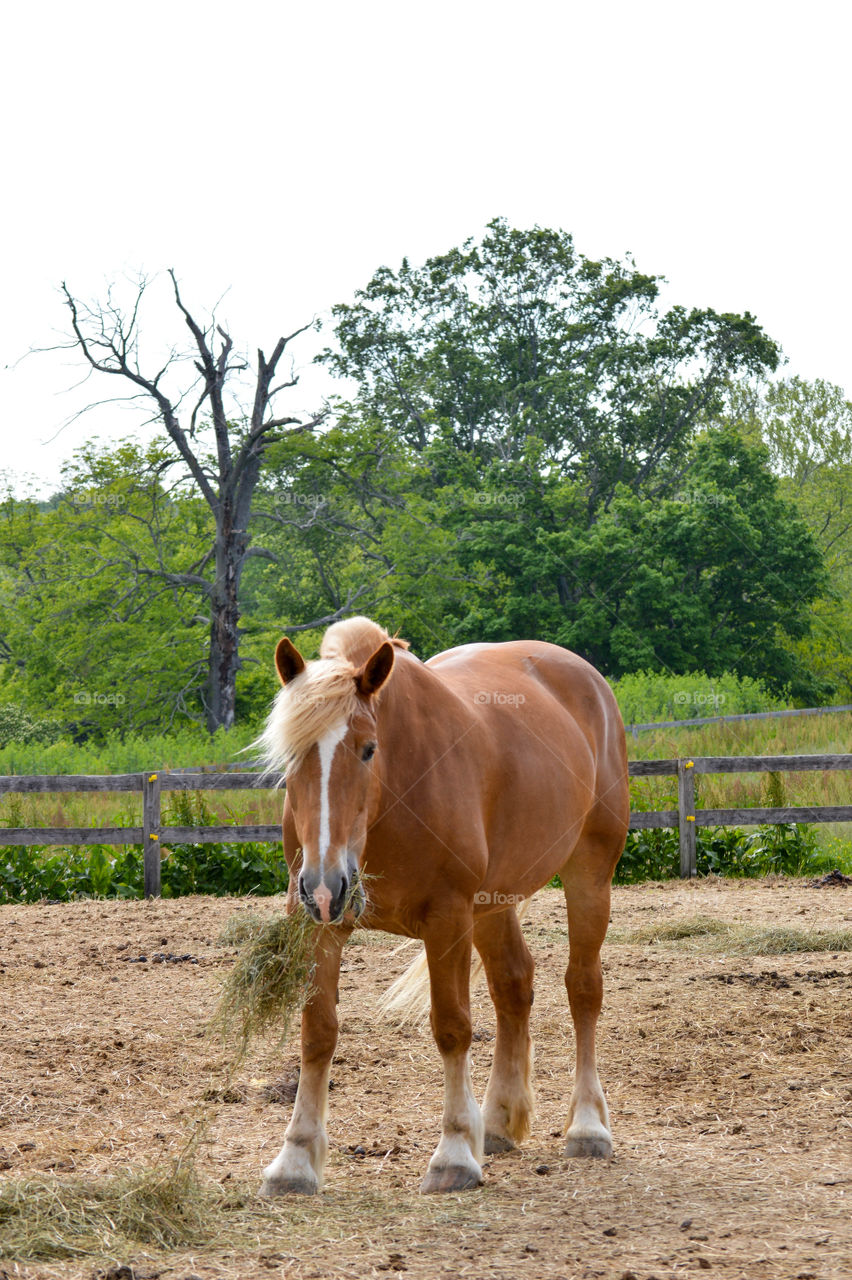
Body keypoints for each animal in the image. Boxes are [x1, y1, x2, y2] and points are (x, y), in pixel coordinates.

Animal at [255, 614, 626, 1192]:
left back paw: (587, 1126)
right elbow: (317, 1031)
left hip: (589, 875)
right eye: (292, 754)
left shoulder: (447, 918)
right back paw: (496, 1123)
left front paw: (453, 1154)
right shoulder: (317, 924)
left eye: (368, 748)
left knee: (583, 989)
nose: (325, 885)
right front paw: (295, 1159)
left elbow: (452, 1028)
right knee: (513, 985)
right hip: (493, 903)